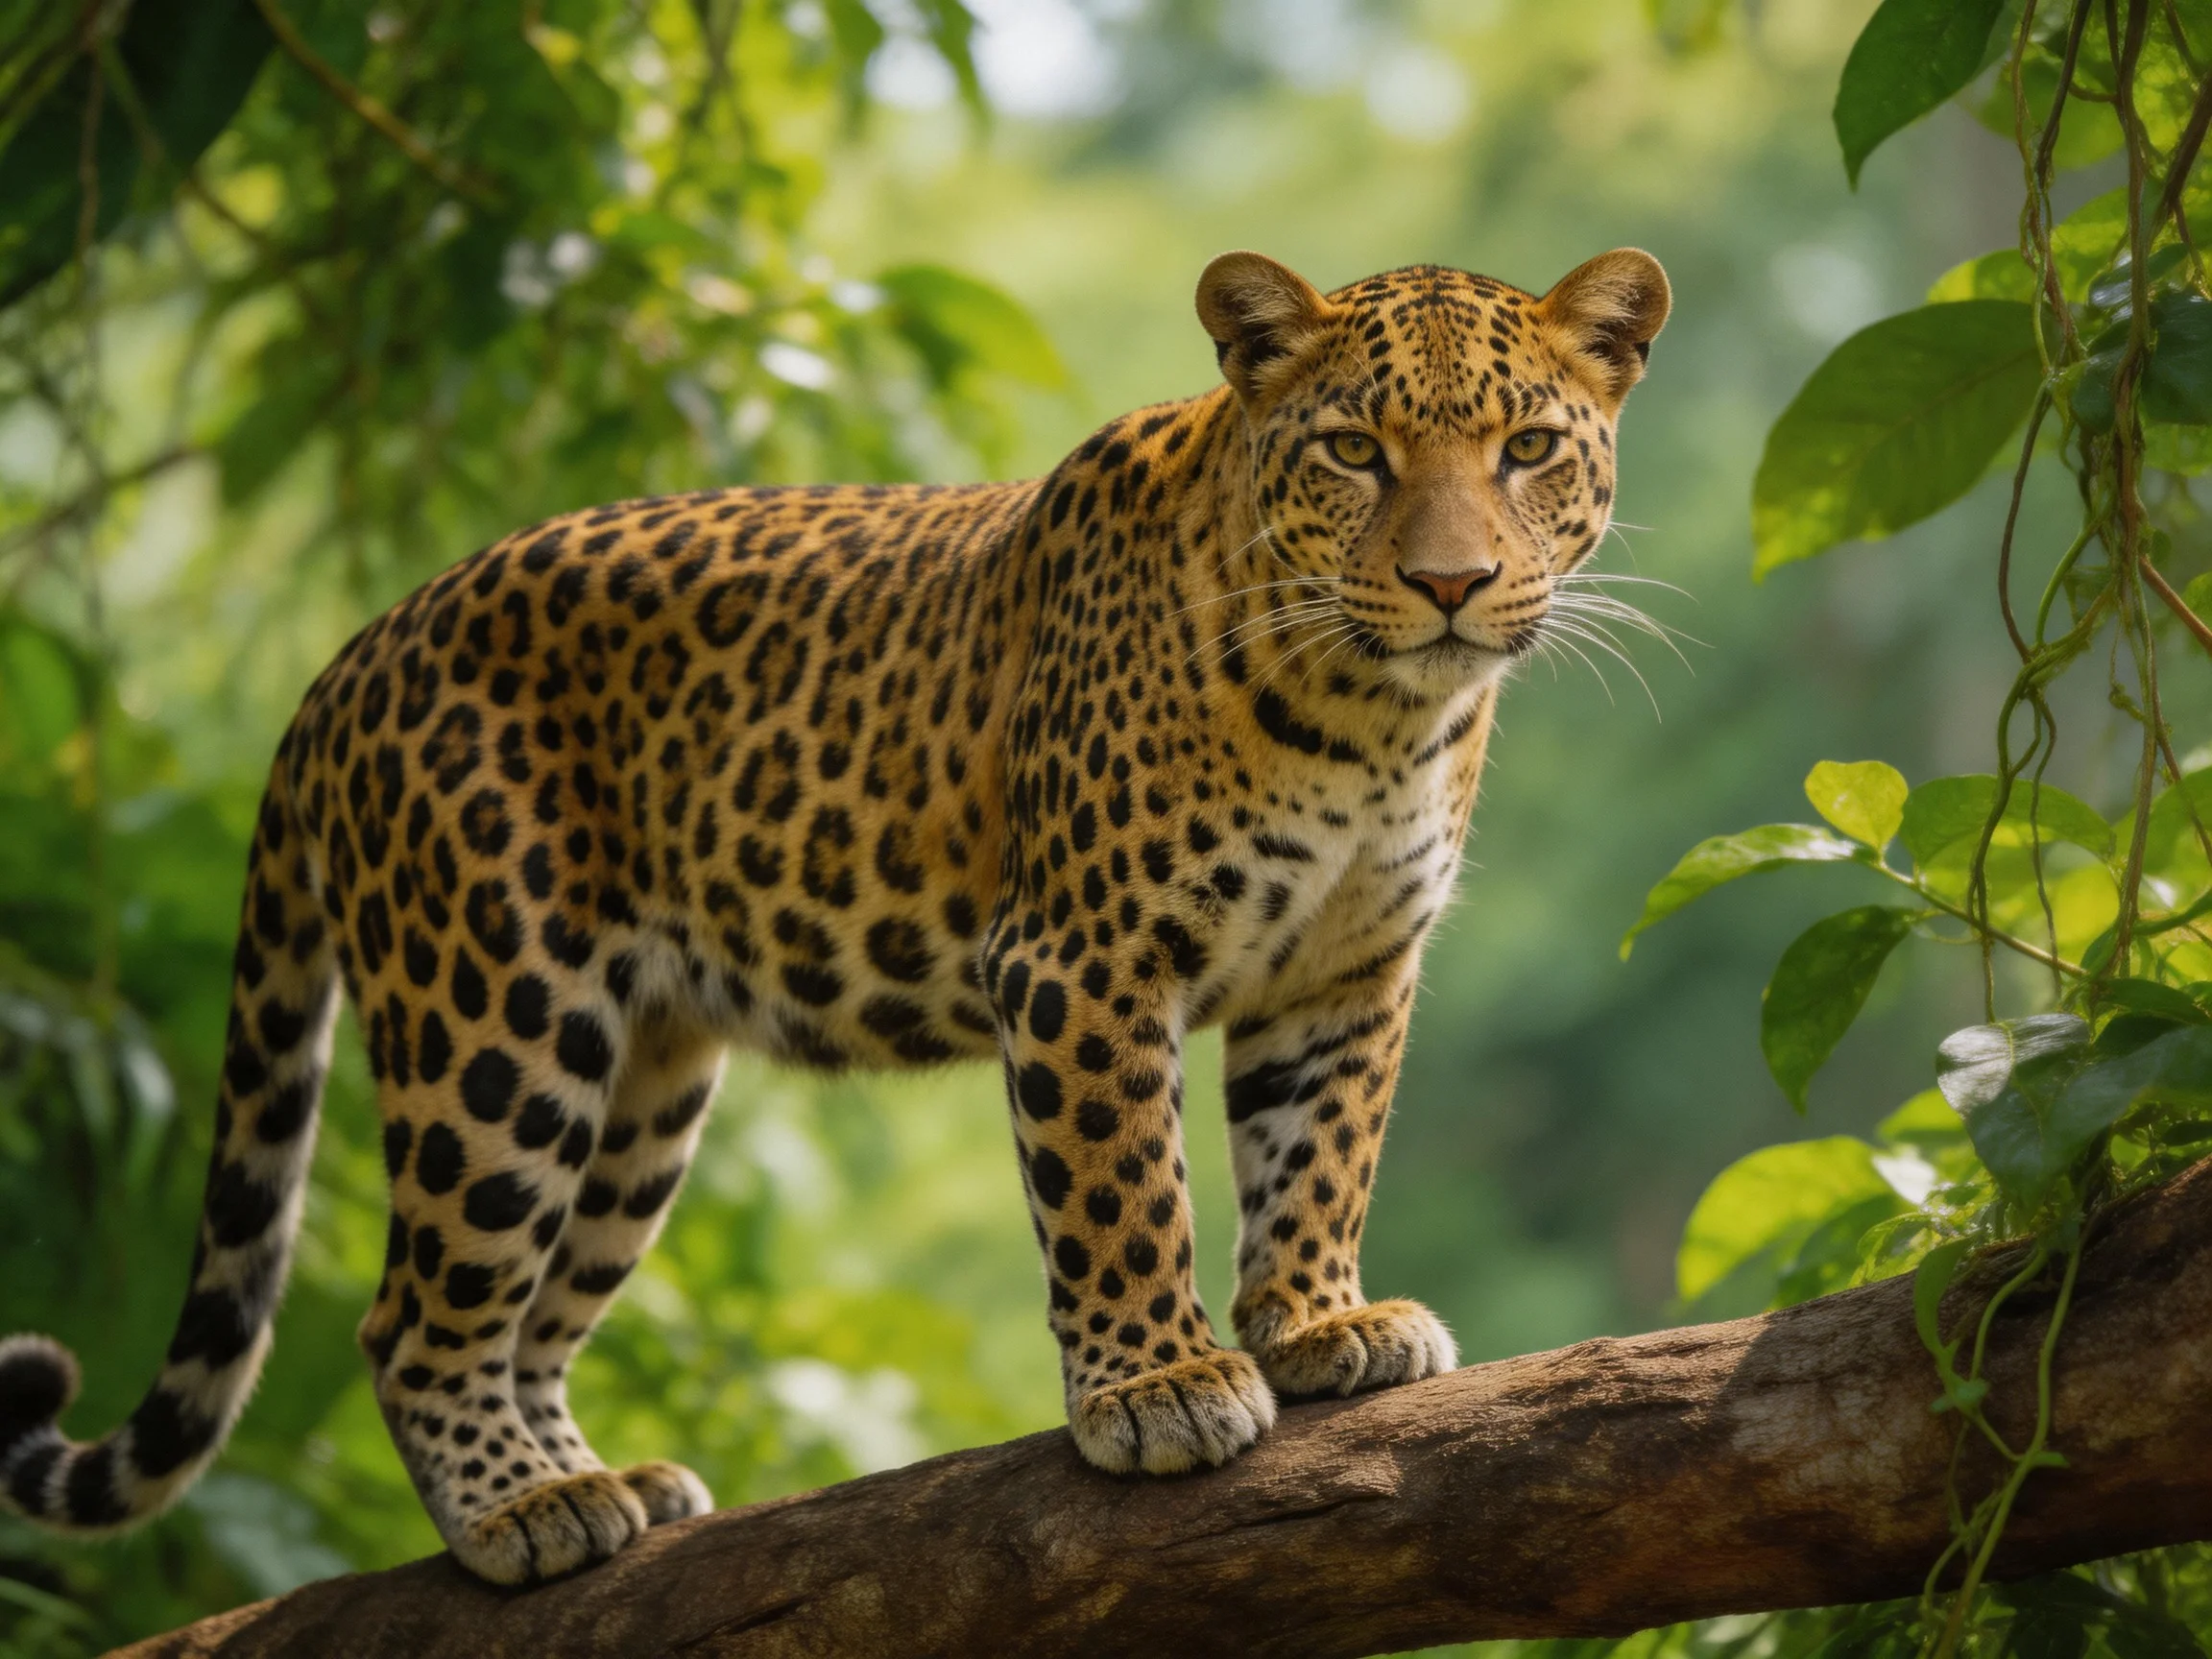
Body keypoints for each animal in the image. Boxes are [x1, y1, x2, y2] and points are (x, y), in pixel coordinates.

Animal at [0, 246, 1668, 1585]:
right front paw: (1159, 1389)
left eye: (1526, 447)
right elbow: (1123, 1186)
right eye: (1351, 451)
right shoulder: (1080, 960)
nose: (1451, 583)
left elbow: (1318, 1155)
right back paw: (518, 1515)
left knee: (536, 1312)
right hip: (496, 1021)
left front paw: (1323, 1326)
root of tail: (349, 659)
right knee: (414, 1318)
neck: (1375, 717)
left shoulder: (1346, 969)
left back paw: (599, 1484)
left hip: (641, 1085)